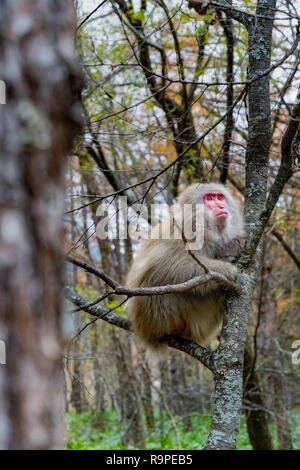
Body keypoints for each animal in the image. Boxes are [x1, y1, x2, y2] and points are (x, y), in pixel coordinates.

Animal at [125, 184, 245, 352]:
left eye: (219, 198)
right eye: (209, 198)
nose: (221, 206)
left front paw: (231, 249)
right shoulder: (187, 227)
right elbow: (165, 263)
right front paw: (227, 270)